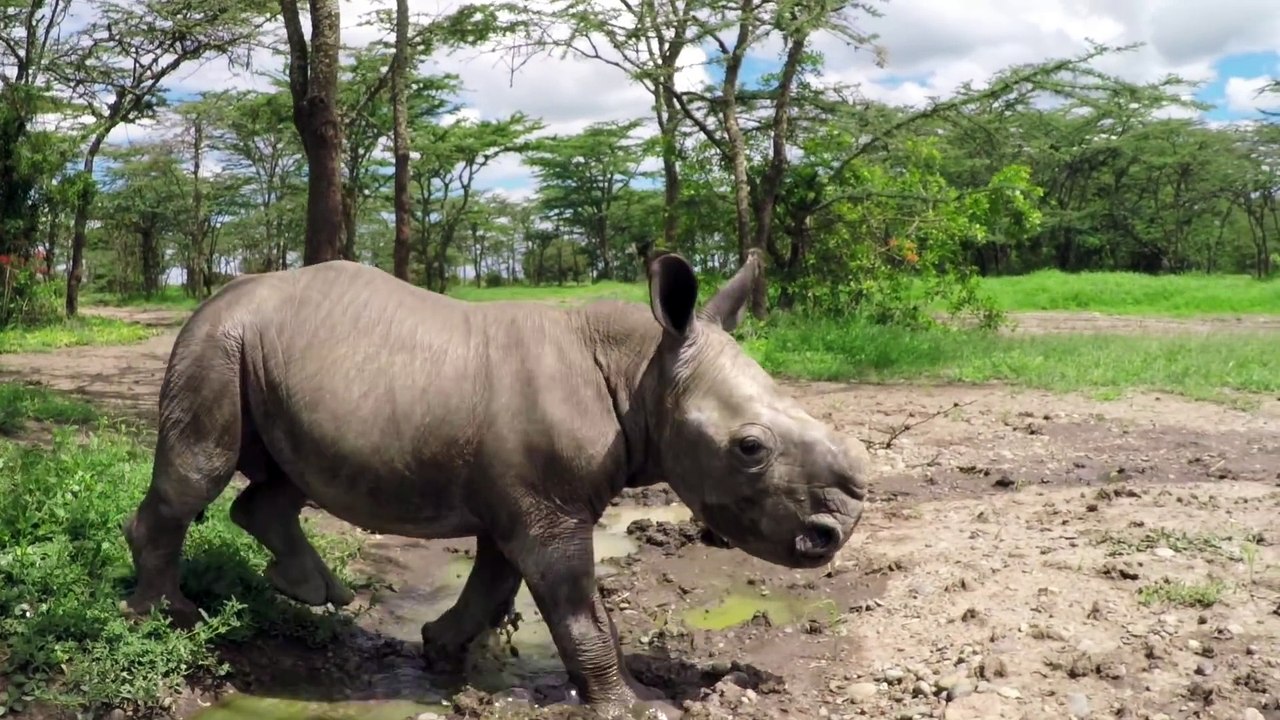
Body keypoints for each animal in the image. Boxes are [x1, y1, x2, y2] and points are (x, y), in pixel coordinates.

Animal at [121, 253, 870, 718]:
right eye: (750, 449)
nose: (832, 534)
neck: (642, 370)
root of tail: (216, 295)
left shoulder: (524, 500)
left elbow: (496, 578)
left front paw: (442, 649)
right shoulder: (547, 507)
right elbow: (574, 604)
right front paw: (635, 705)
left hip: (263, 354)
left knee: (282, 479)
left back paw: (315, 593)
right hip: (215, 343)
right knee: (202, 468)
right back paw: (168, 617)